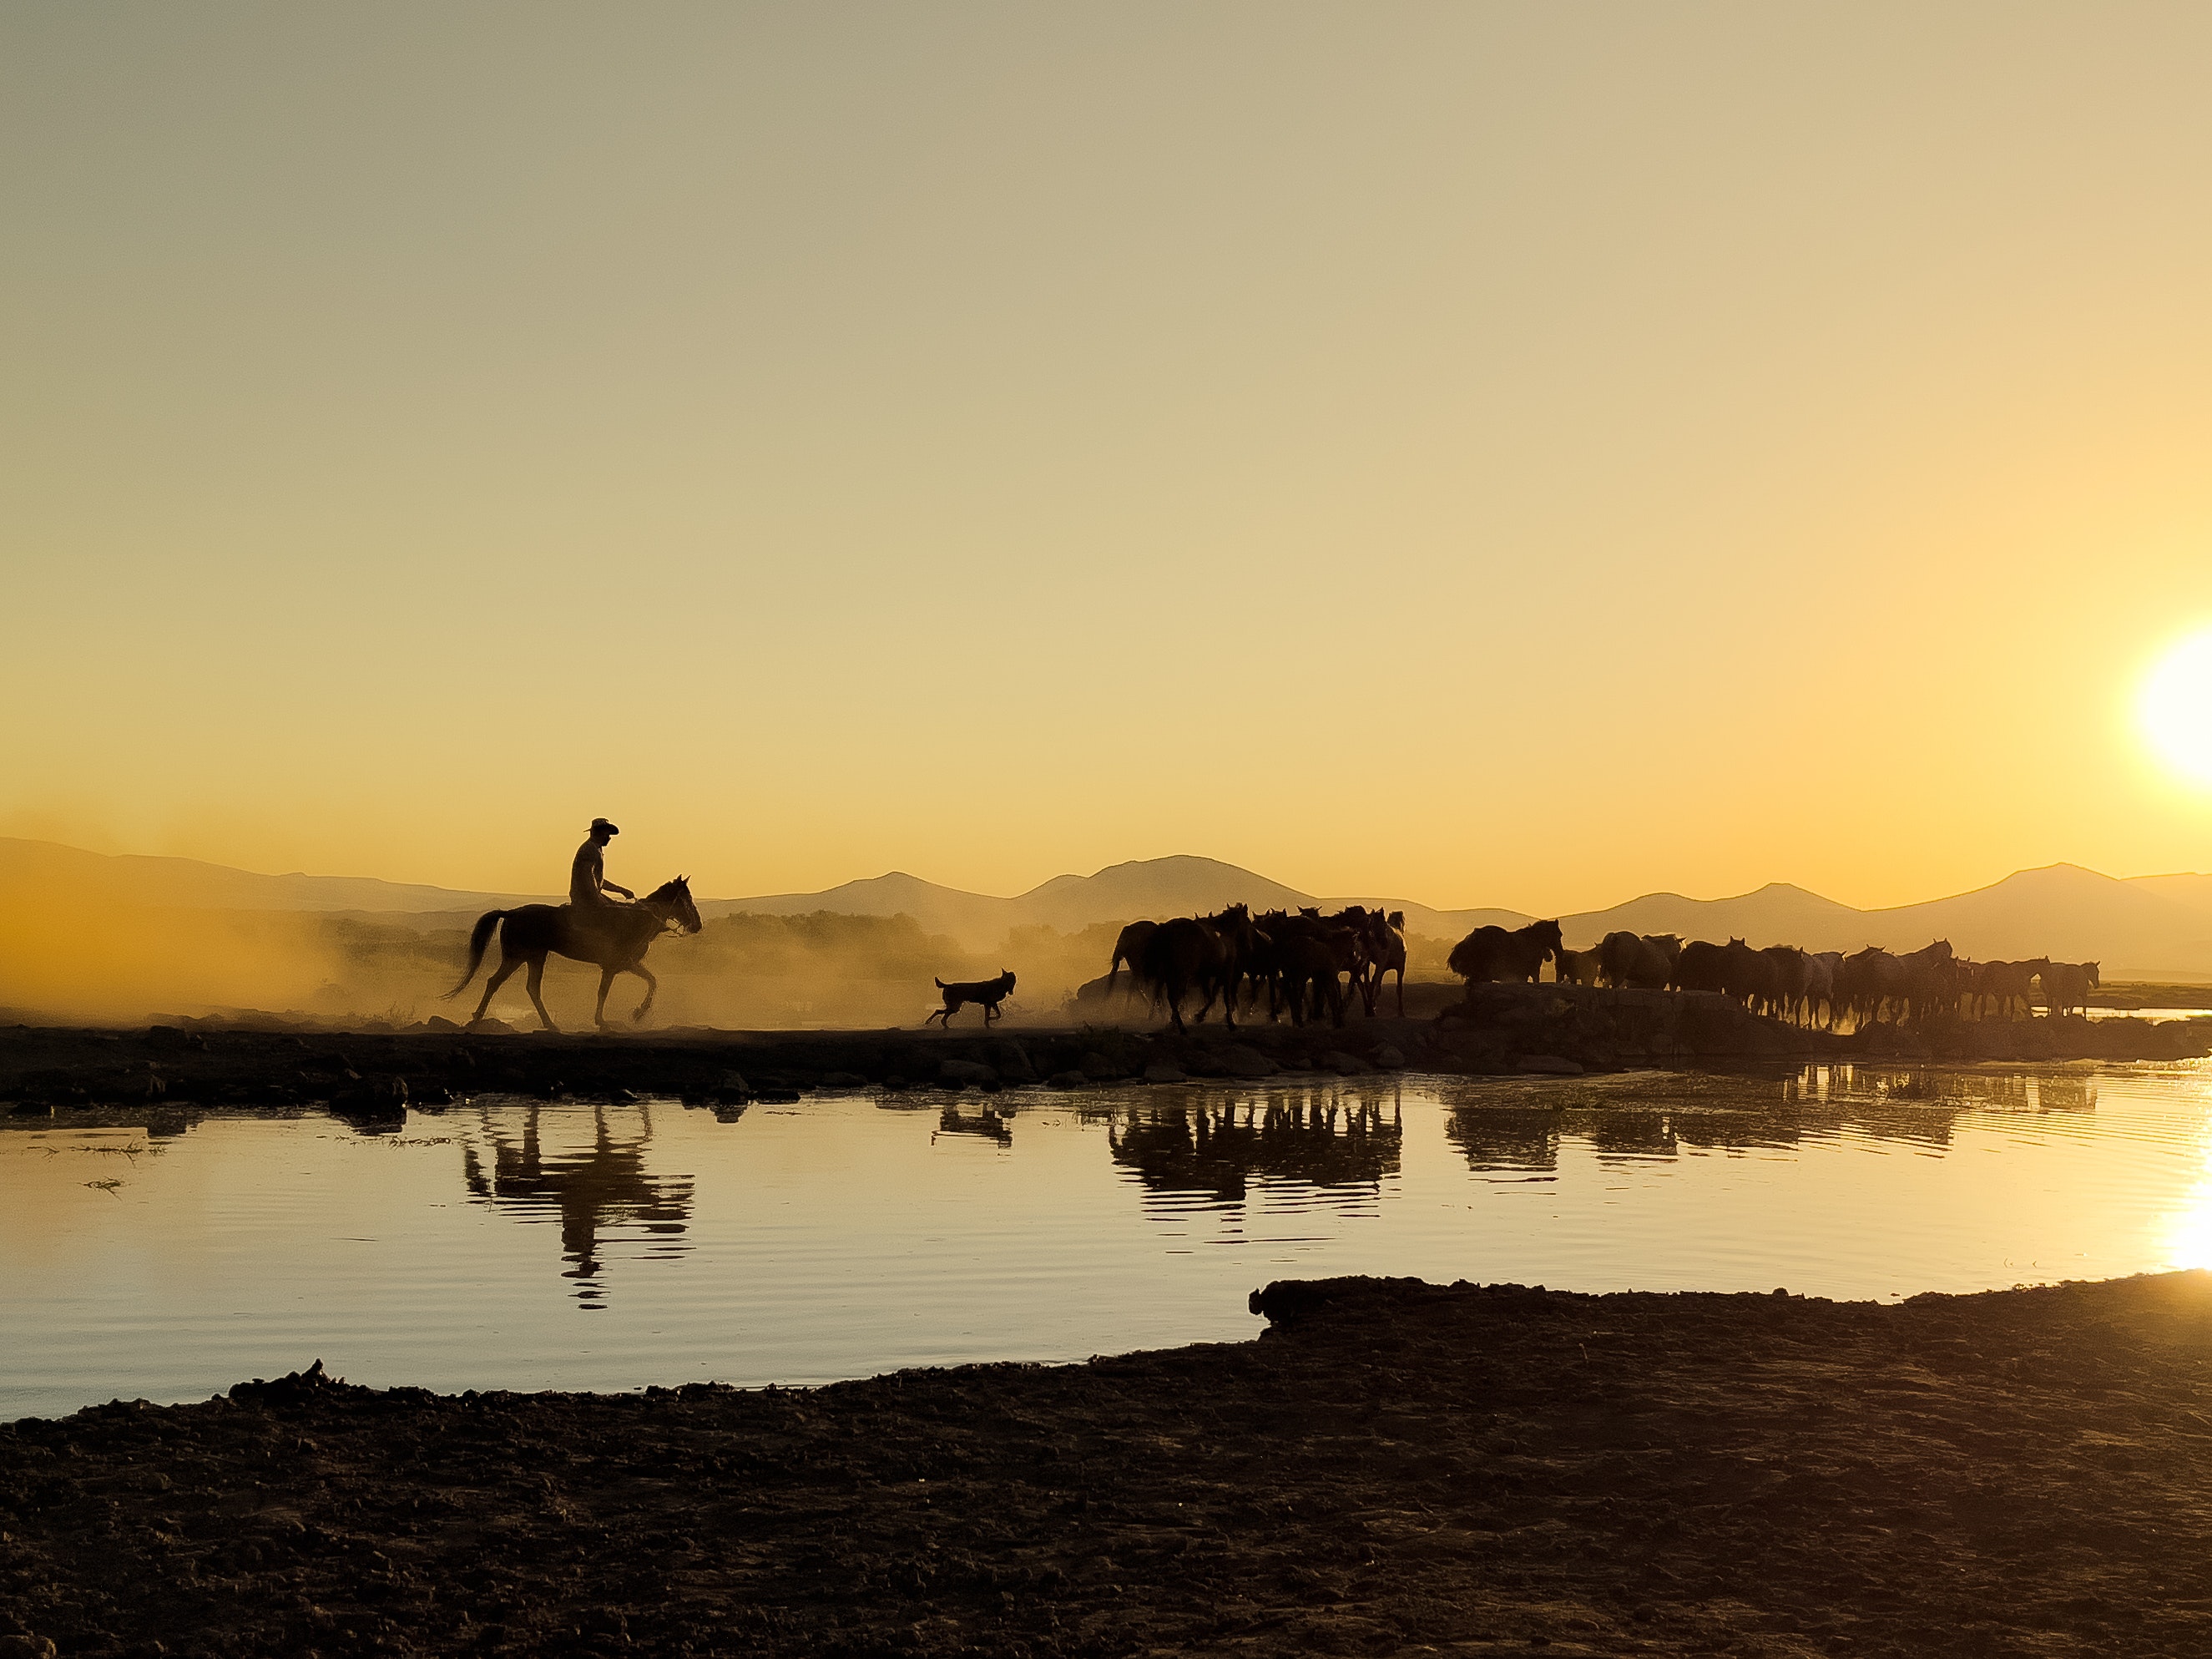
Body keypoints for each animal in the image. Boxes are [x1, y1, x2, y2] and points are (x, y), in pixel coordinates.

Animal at [446, 878, 703, 1032]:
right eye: (687, 899)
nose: (697, 925)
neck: (639, 919)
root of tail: (510, 913)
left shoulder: (628, 964)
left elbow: (652, 980)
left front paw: (638, 1014)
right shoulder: (613, 965)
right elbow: (604, 992)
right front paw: (606, 1022)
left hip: (528, 957)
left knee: (508, 984)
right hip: (522, 957)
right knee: (512, 984)